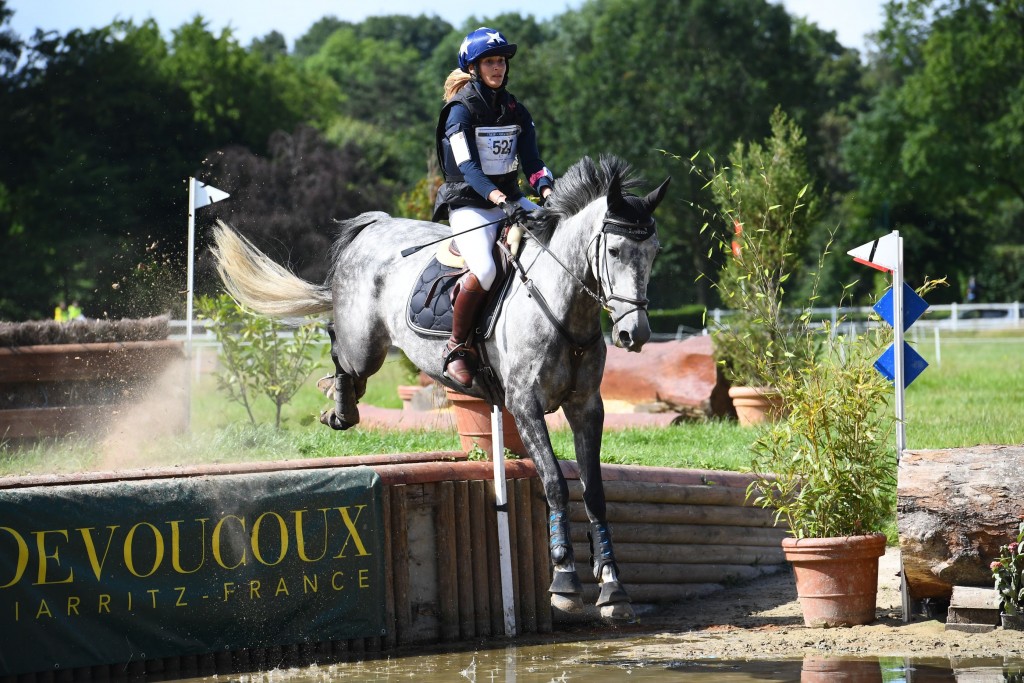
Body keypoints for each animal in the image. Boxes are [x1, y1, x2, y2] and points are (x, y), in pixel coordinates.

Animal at [211, 154, 667, 626]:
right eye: (613, 251)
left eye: (653, 252)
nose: (635, 334)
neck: (563, 308)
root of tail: (374, 225)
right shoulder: (525, 404)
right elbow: (556, 483)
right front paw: (564, 583)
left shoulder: (586, 408)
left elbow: (594, 493)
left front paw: (613, 588)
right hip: (364, 345)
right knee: (339, 346)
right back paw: (339, 408)